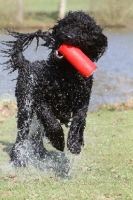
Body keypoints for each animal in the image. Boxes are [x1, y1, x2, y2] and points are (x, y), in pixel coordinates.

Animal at [1, 11, 107, 167]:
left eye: (85, 31)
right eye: (67, 24)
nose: (68, 36)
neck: (65, 74)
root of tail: (26, 64)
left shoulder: (82, 103)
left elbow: (78, 121)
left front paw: (75, 143)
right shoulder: (41, 101)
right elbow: (52, 122)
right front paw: (58, 140)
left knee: (37, 136)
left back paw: (41, 153)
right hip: (25, 109)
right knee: (22, 135)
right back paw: (18, 158)